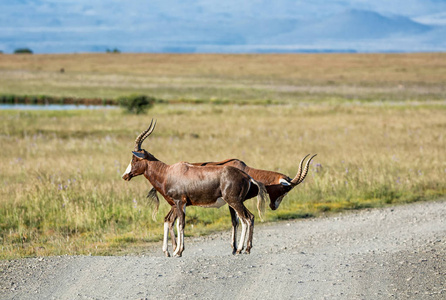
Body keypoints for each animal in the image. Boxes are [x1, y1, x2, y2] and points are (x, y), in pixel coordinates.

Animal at [121, 120, 268, 256]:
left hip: (234, 202)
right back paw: (246, 249)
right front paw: (177, 250)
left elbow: (180, 224)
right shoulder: (180, 204)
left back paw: (239, 250)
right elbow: (176, 223)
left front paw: (177, 251)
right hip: (237, 202)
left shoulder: (179, 202)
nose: (125, 176)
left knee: (245, 219)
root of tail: (247, 176)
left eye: (134, 159)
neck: (168, 172)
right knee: (250, 217)